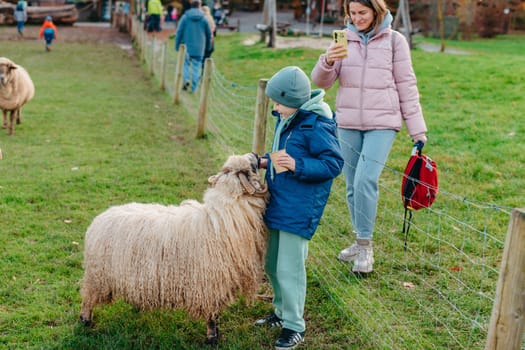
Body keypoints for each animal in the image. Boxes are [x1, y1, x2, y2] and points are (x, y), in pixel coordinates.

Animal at [81, 153, 270, 344]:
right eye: (250, 167)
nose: (257, 155)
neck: (222, 217)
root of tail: (98, 220)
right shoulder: (209, 284)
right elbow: (212, 315)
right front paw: (212, 338)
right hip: (98, 278)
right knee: (87, 297)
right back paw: (85, 320)